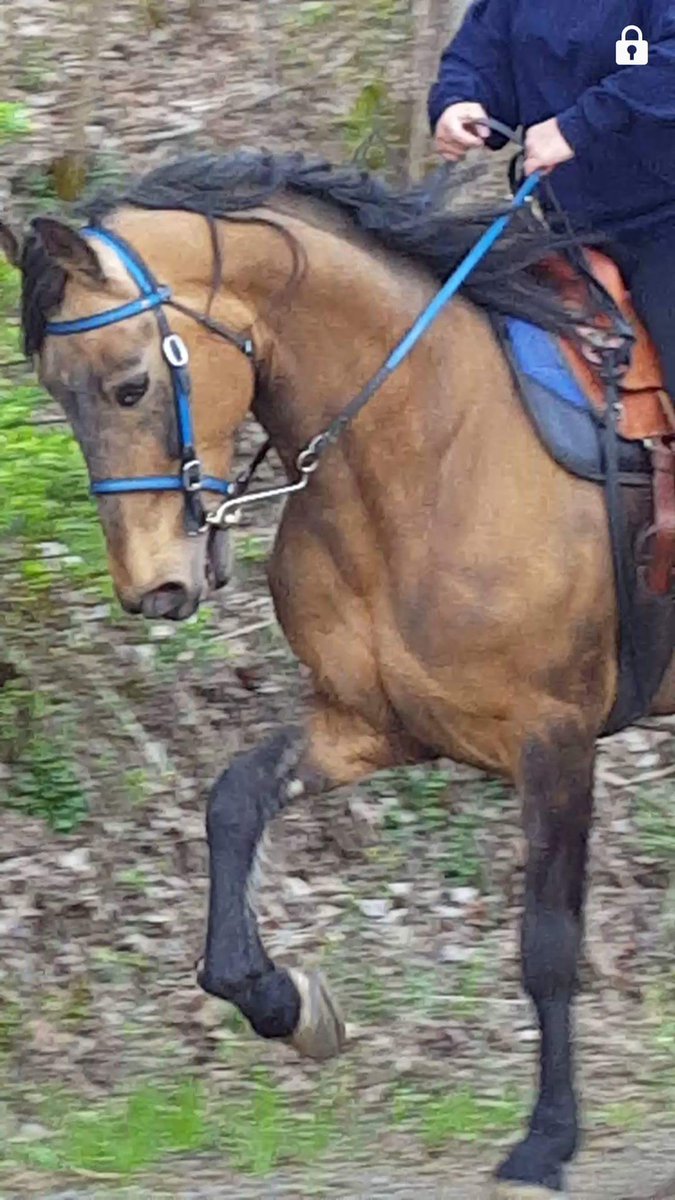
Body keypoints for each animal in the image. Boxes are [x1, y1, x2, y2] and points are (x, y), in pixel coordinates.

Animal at [1, 151, 673, 1199]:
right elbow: (235, 802)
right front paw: (284, 1002)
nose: (154, 587)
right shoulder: (374, 721)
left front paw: (547, 1138)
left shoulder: (555, 737)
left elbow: (548, 945)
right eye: (58, 395)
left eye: (128, 386)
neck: (429, 443)